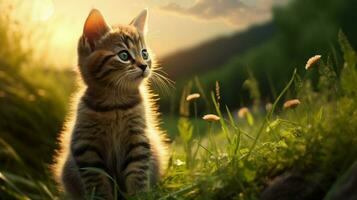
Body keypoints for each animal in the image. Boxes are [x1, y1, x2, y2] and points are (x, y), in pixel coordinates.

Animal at [52, 8, 168, 199]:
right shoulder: (86, 147)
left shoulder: (138, 141)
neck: (116, 105)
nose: (144, 65)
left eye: (144, 53)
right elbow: (98, 183)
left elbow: (137, 176)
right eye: (124, 55)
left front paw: (139, 196)